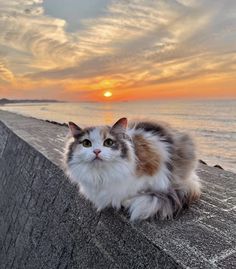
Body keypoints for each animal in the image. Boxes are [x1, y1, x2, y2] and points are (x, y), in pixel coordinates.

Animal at [64, 117, 201, 220]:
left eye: (108, 142)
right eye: (86, 143)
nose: (96, 151)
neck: (101, 175)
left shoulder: (156, 174)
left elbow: (138, 191)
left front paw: (126, 201)